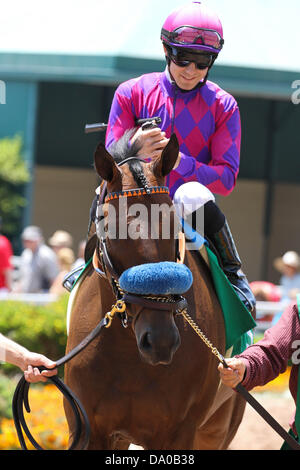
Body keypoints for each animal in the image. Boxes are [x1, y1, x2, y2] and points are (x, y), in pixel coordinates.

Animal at [63, 134, 246, 450]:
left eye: (174, 228)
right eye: (112, 232)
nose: (161, 339)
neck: (128, 353)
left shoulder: (179, 433)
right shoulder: (91, 430)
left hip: (220, 425)